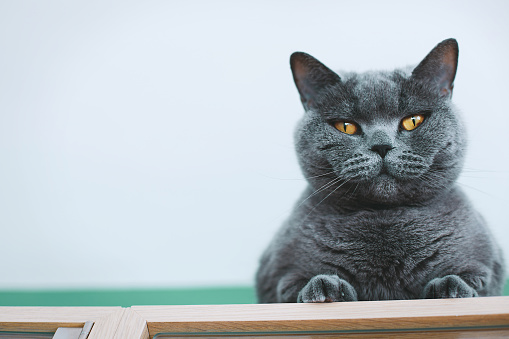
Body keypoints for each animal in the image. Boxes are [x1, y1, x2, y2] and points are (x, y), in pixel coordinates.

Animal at [258, 39, 504, 302]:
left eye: (413, 120)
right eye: (346, 126)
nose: (382, 145)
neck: (384, 218)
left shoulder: (487, 264)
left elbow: (476, 280)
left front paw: (450, 287)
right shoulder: (278, 274)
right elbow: (292, 286)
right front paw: (326, 287)